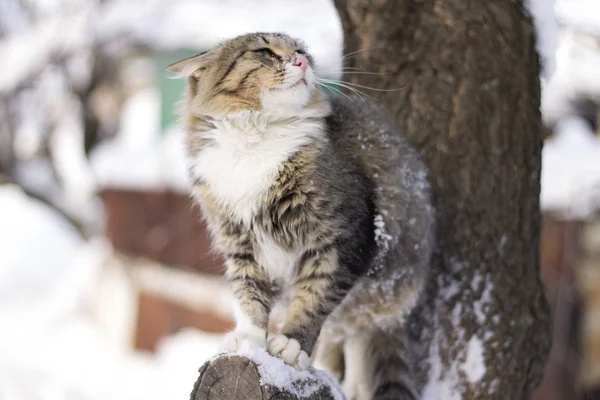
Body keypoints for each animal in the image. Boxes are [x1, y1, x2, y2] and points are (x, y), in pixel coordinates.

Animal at [166, 32, 434, 400]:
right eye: (264, 52)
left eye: (300, 50)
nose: (302, 61)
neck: (255, 141)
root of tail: (395, 312)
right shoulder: (241, 245)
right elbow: (248, 297)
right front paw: (249, 340)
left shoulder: (342, 238)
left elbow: (314, 297)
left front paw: (292, 344)